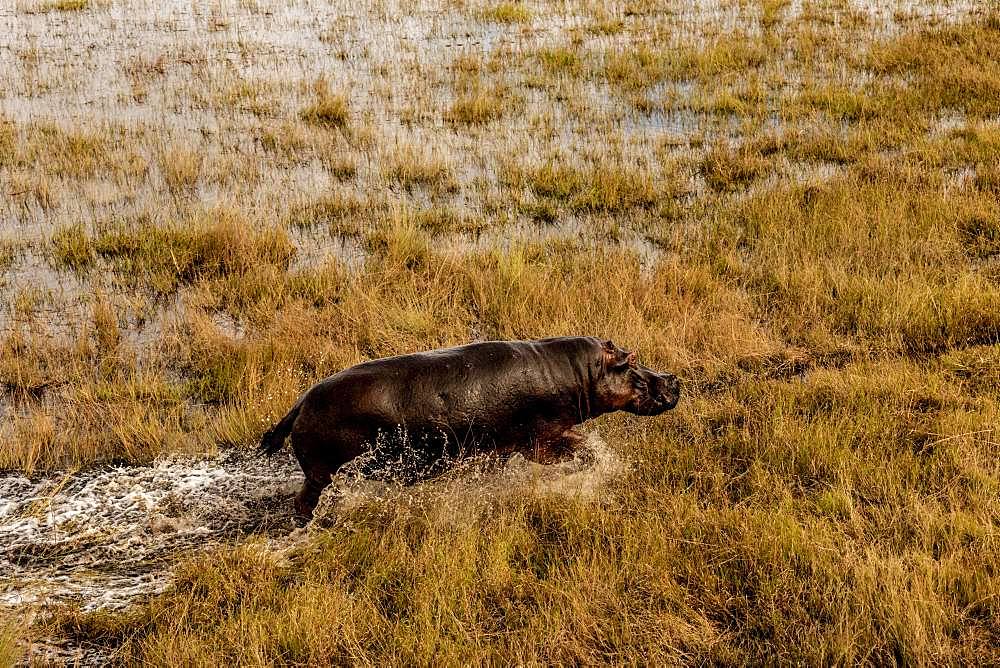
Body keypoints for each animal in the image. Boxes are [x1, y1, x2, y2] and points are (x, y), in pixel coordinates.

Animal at [258, 336, 680, 520]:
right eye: (632, 361)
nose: (673, 379)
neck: (581, 373)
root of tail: (301, 403)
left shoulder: (505, 447)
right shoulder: (541, 441)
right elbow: (581, 447)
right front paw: (591, 466)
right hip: (322, 471)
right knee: (305, 501)